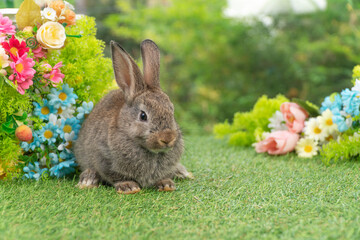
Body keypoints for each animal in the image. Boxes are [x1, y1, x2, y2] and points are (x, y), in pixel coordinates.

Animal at [73, 39, 191, 193]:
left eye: (172, 111)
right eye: (143, 115)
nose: (167, 138)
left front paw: (166, 184)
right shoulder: (104, 158)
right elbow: (116, 176)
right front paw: (129, 186)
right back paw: (88, 180)